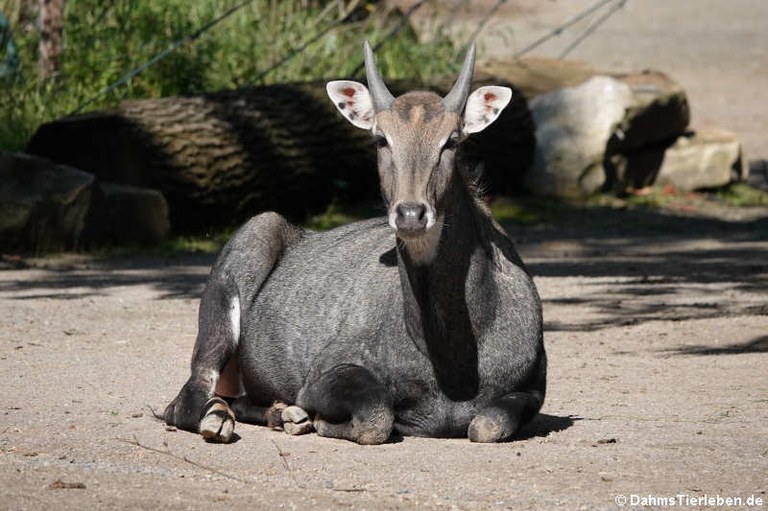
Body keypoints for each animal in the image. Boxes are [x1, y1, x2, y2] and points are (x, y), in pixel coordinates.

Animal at [165, 42, 544, 446]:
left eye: (453, 140)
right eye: (381, 138)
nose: (411, 214)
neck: (449, 357)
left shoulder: (533, 388)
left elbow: (487, 424)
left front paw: (301, 417)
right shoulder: (324, 374)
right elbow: (376, 417)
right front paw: (317, 419)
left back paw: (283, 414)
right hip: (249, 248)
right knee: (186, 401)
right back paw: (224, 418)